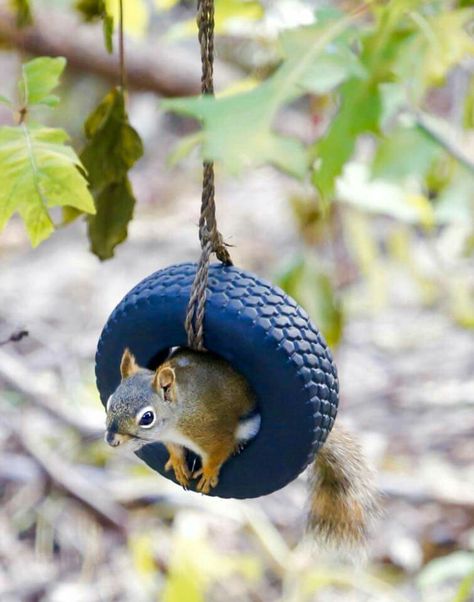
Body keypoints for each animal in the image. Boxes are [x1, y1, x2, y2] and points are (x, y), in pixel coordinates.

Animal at [103, 344, 378, 548]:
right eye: (110, 401)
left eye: (147, 417)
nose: (111, 440)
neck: (178, 417)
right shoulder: (172, 439)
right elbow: (175, 451)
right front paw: (180, 465)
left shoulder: (213, 433)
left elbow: (217, 453)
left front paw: (209, 473)